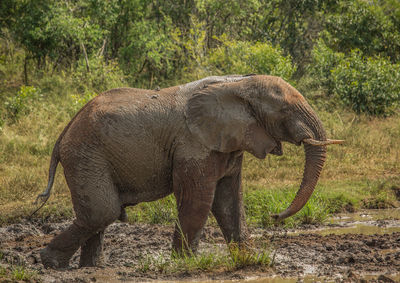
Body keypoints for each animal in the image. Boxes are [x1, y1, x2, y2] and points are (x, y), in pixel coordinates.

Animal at [36, 74, 344, 270]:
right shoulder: (192, 144)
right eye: (284, 111)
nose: (275, 216)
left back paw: (91, 268)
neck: (239, 83)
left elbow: (229, 202)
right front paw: (185, 264)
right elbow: (199, 201)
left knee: (99, 216)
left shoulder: (228, 141)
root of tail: (65, 130)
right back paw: (51, 263)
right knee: (103, 212)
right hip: (86, 156)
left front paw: (251, 261)